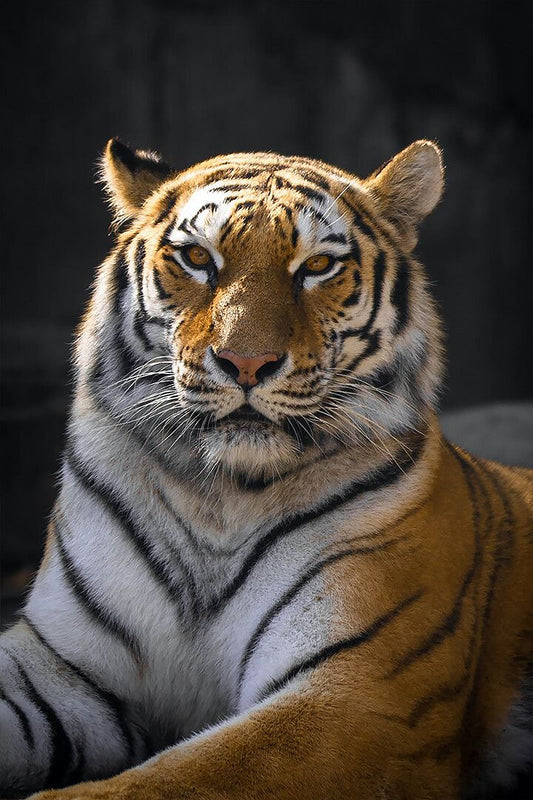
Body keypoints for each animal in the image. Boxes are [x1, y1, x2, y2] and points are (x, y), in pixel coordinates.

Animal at [0, 137, 532, 800]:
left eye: (317, 266)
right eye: (197, 258)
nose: (246, 362)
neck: (219, 496)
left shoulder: (359, 696)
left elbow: (172, 779)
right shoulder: (60, 659)